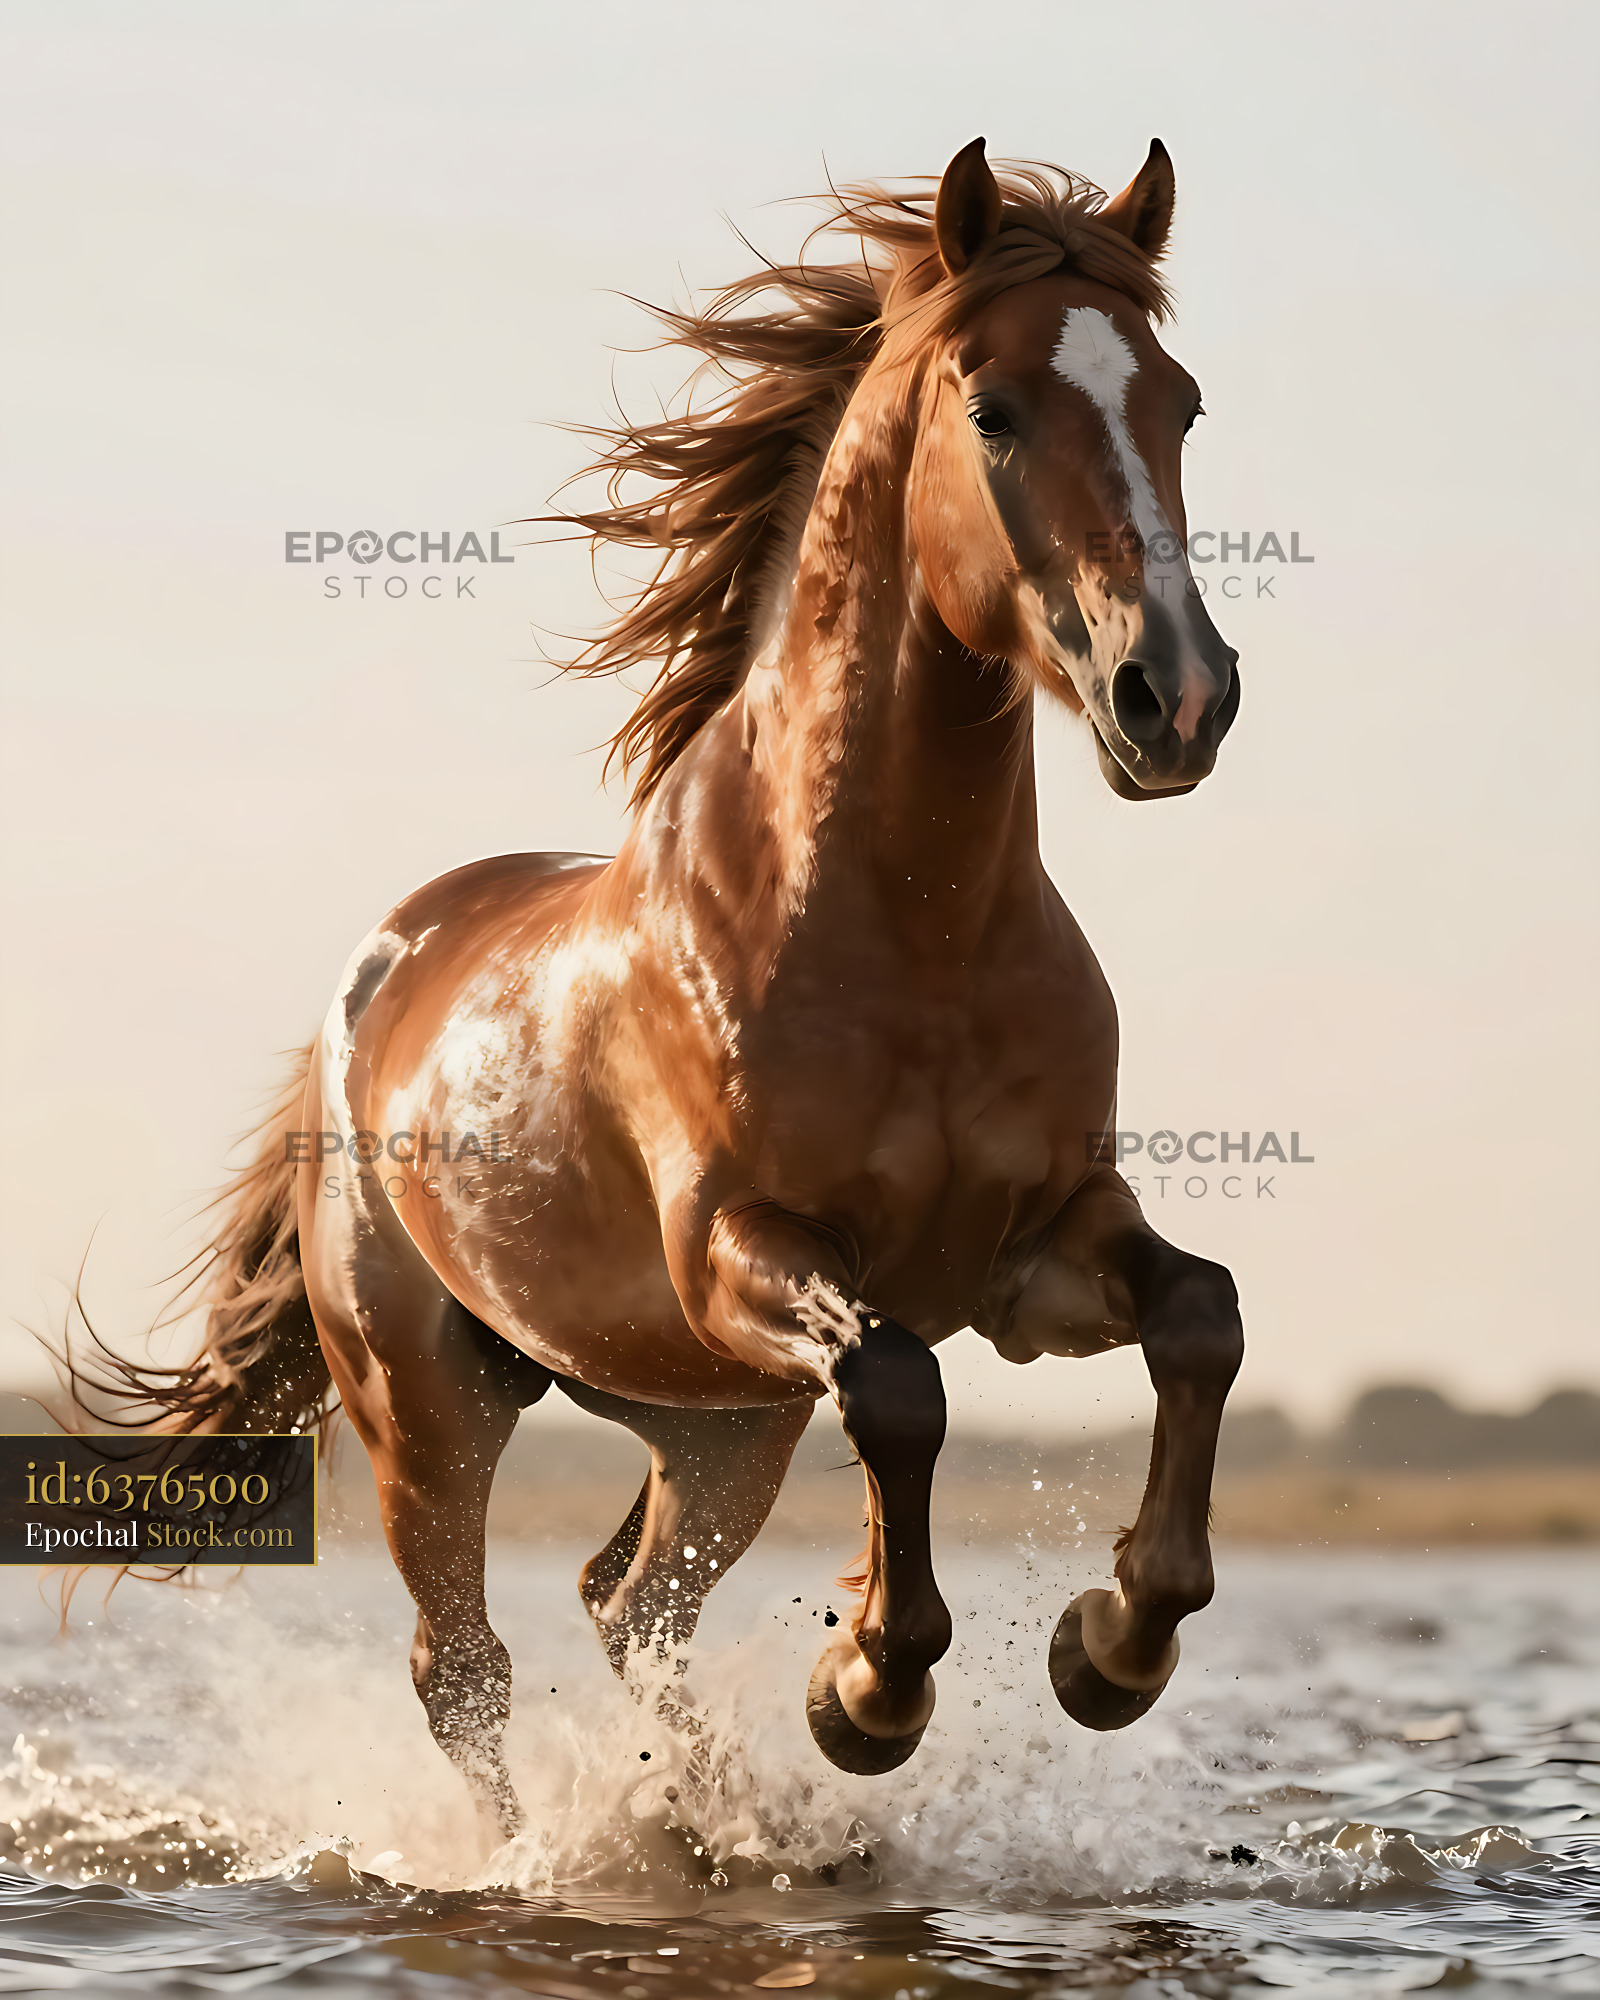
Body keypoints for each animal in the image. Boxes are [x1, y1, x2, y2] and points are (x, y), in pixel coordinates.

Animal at [113, 137, 1244, 1842]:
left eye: (1180, 403)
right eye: (991, 408)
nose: (1174, 698)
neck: (910, 933)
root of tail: (364, 988)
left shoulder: (1036, 1252)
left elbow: (1200, 1318)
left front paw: (1110, 1649)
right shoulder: (747, 1254)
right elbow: (901, 1391)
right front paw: (868, 1689)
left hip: (713, 1421)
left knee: (624, 1604)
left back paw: (715, 1831)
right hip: (434, 1408)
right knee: (469, 1664)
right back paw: (546, 1855)